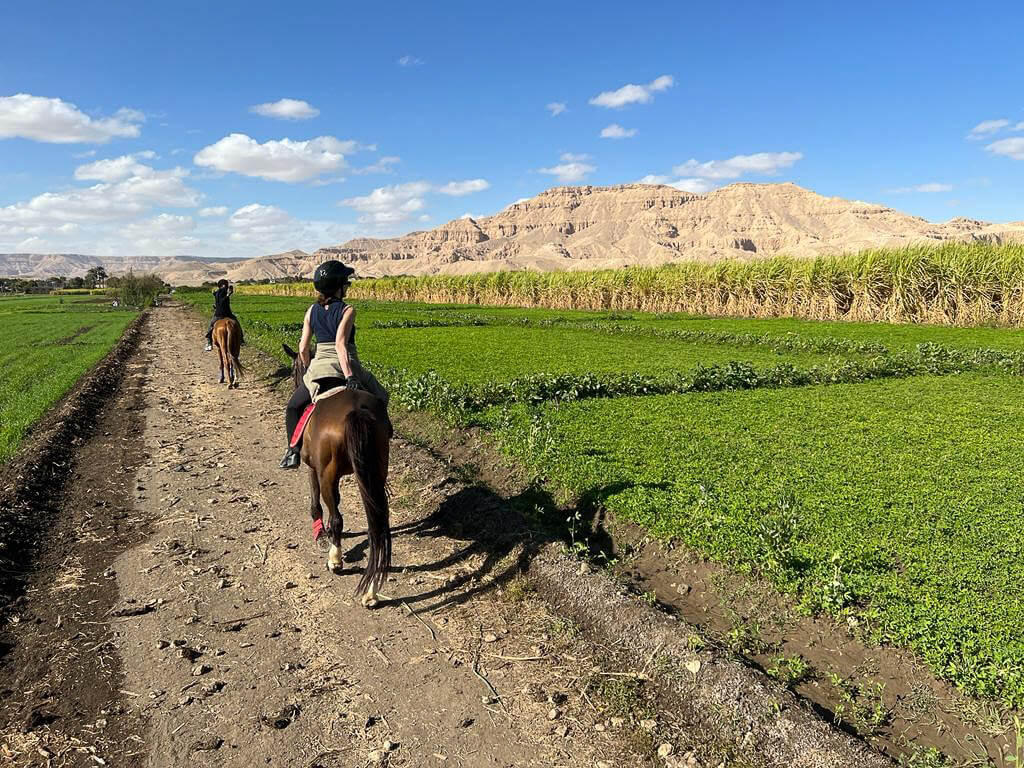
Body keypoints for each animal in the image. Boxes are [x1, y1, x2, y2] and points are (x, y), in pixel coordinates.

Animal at [282, 344, 389, 606]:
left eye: (293, 369)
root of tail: (356, 412)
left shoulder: (315, 469)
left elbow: (316, 503)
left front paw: (321, 533)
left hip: (328, 474)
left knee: (338, 517)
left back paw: (335, 559)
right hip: (374, 473)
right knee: (376, 525)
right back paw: (372, 590)